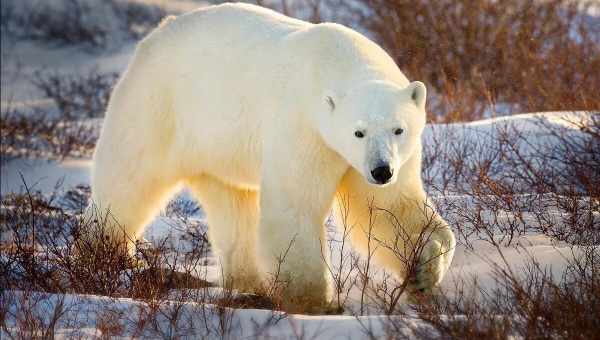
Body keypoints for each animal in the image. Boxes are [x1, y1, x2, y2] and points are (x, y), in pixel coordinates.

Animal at [89, 1, 454, 310]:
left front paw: (423, 271)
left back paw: (248, 282)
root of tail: (157, 32)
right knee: (129, 178)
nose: (381, 170)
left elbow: (387, 208)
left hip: (219, 148)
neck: (337, 61)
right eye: (358, 132)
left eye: (398, 129)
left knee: (232, 203)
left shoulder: (382, 159)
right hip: (159, 105)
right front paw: (314, 302)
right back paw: (103, 256)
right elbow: (295, 207)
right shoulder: (305, 127)